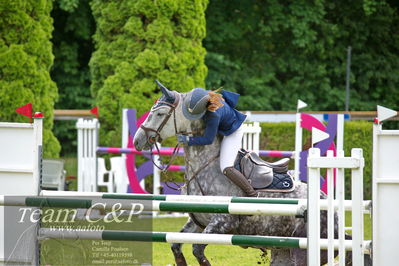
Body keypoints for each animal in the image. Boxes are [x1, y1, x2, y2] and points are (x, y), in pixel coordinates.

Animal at [134, 84, 346, 266]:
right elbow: (176, 245)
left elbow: (197, 250)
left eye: (160, 113)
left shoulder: (223, 223)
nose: (137, 141)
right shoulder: (198, 223)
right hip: (284, 251)